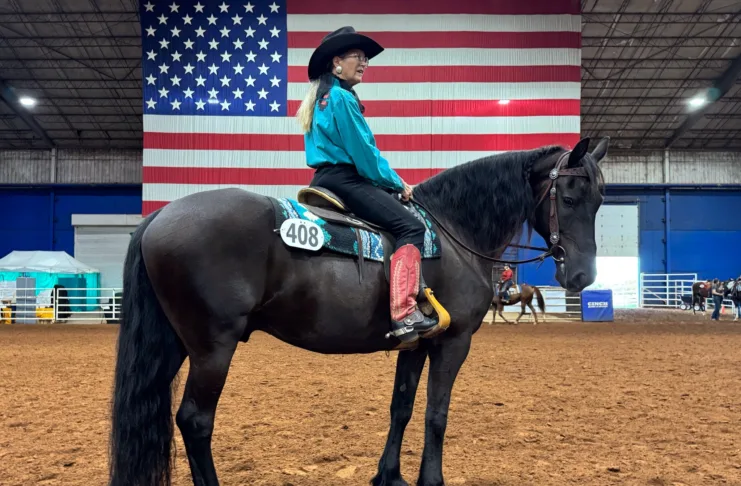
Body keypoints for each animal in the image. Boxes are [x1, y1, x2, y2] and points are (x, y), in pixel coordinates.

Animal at [107, 136, 609, 486]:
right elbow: (437, 413)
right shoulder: (454, 341)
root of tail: (161, 215)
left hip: (175, 343)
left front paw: (389, 475)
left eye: (600, 201)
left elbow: (402, 407)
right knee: (195, 421)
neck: (453, 232)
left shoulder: (418, 342)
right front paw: (431, 479)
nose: (582, 276)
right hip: (213, 347)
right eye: (568, 198)